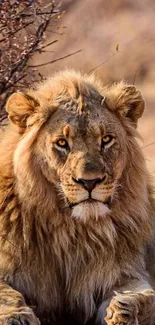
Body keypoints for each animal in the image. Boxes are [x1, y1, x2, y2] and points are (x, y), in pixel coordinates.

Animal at [0, 70, 155, 324]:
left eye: (106, 139)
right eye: (62, 143)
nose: (90, 182)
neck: (71, 229)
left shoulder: (123, 271)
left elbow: (145, 295)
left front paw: (123, 310)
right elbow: (6, 293)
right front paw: (17, 317)